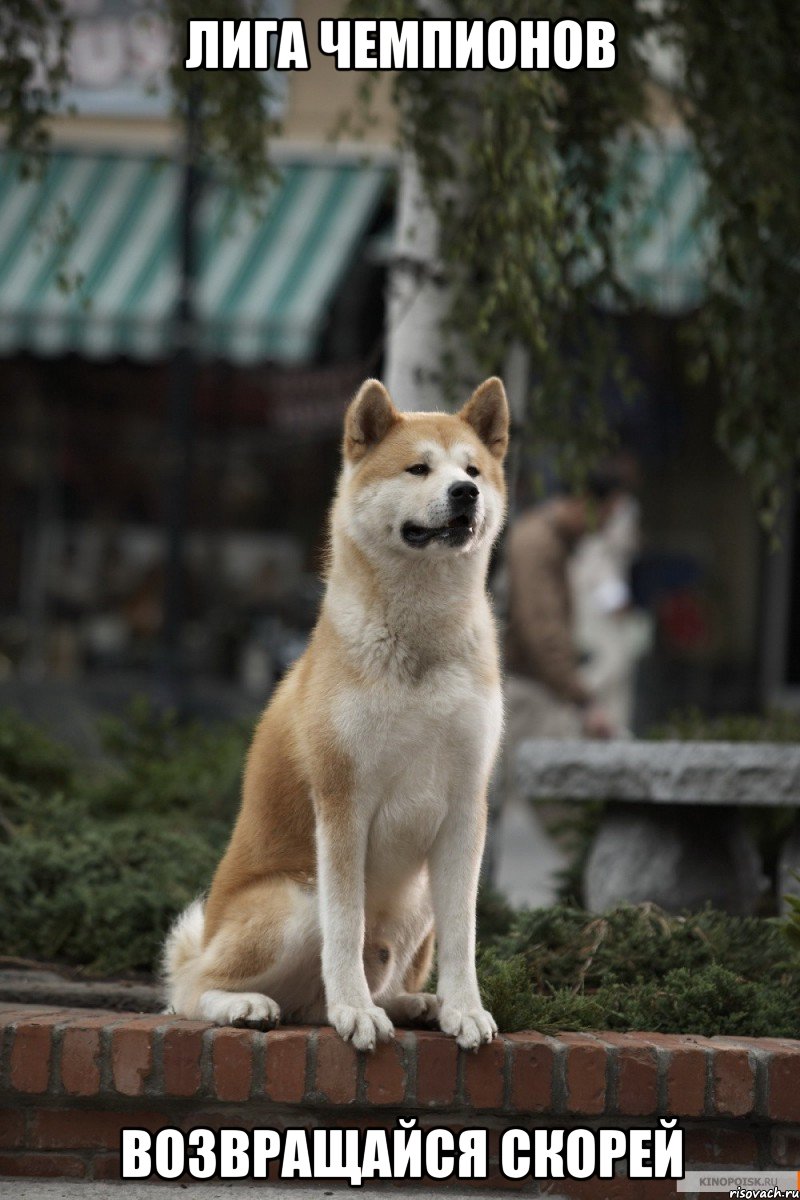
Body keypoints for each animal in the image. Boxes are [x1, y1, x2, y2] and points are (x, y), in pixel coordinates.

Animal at [164, 376, 506, 1051]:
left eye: (473, 469)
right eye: (419, 468)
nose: (466, 493)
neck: (420, 645)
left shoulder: (465, 806)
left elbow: (465, 934)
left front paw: (464, 1009)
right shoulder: (344, 801)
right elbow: (345, 928)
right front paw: (355, 1011)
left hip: (416, 900)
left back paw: (412, 1003)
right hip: (296, 900)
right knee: (189, 990)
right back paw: (251, 1004)